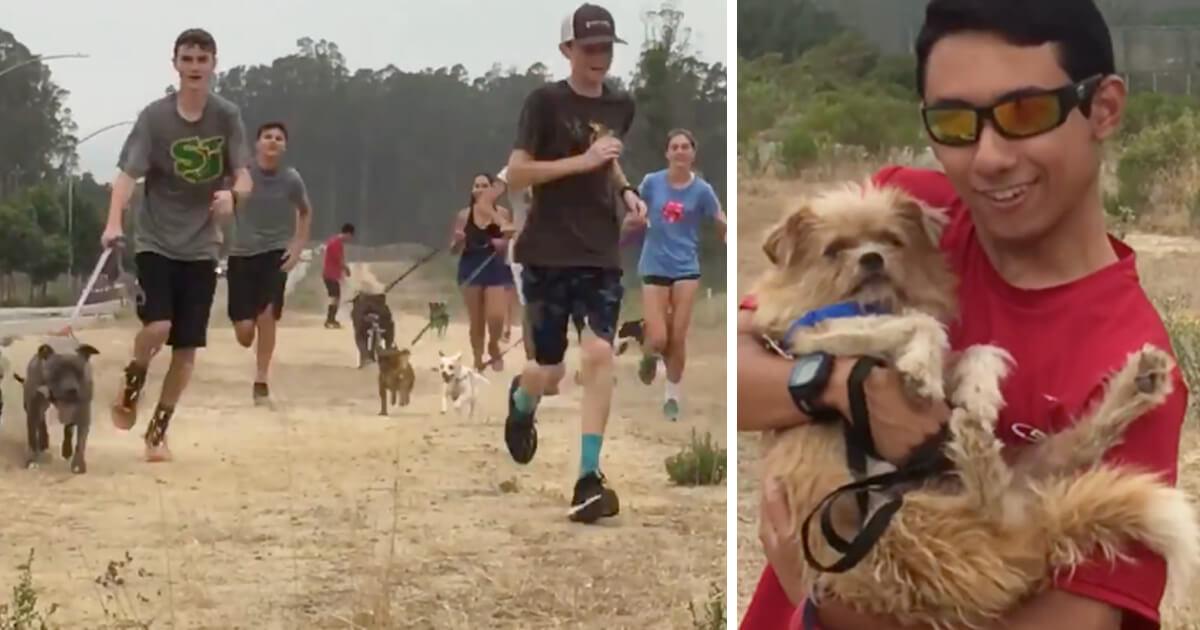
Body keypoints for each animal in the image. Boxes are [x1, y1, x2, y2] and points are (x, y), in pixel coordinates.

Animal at [17, 338, 100, 470]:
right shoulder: (33, 408)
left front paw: (78, 463)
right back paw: (44, 440)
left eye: (79, 371)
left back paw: (66, 449)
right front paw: (31, 459)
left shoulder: (82, 411)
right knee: (41, 420)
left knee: (68, 429)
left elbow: (80, 440)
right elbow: (31, 436)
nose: (71, 389)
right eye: (57, 371)